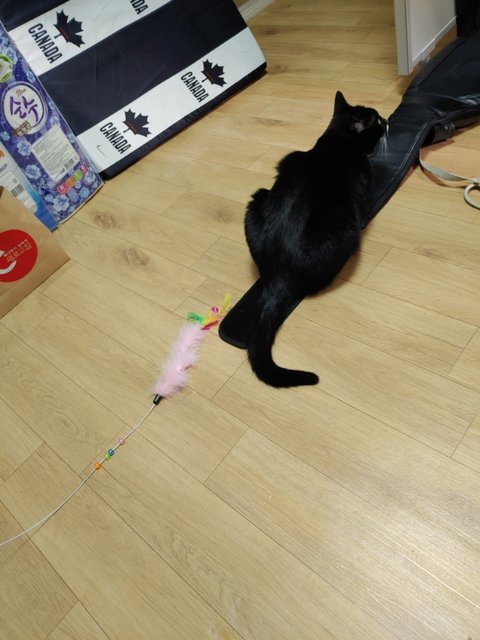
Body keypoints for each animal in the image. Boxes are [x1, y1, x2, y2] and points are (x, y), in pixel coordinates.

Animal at [244, 90, 387, 388]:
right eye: (378, 121)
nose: (388, 120)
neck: (336, 141)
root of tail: (279, 275)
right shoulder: (363, 189)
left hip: (256, 199)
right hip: (344, 231)